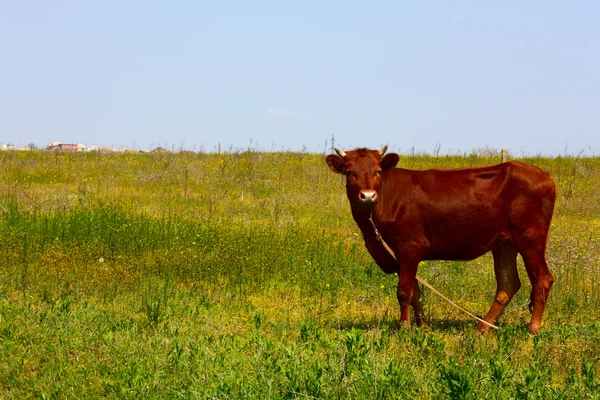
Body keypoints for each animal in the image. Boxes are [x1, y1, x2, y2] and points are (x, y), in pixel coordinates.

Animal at [326, 145, 556, 332]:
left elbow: (404, 292)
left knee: (542, 279)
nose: (367, 195)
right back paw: (482, 328)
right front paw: (424, 327)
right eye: (349, 172)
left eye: (378, 171)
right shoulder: (397, 254)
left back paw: (532, 329)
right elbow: (415, 294)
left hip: (530, 238)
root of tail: (542, 174)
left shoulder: (410, 247)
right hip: (504, 244)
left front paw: (404, 327)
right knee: (508, 284)